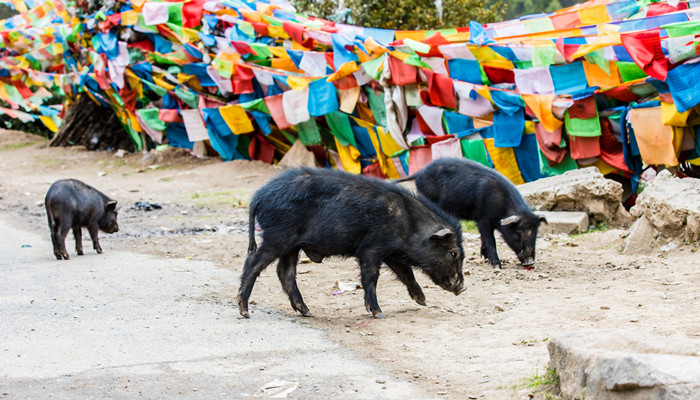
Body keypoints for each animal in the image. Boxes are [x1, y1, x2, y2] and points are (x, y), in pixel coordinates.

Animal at [238, 167, 468, 318]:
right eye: (454, 253)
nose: (463, 287)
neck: (409, 224)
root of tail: (258, 197)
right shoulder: (370, 249)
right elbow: (371, 278)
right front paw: (378, 313)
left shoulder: (392, 253)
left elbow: (406, 273)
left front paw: (422, 301)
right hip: (277, 236)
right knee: (253, 263)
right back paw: (244, 311)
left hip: (291, 246)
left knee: (284, 272)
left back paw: (307, 312)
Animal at [396, 159, 544, 268]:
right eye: (517, 234)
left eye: (535, 234)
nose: (530, 262)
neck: (502, 205)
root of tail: (419, 173)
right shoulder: (483, 218)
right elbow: (491, 240)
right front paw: (497, 266)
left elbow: (484, 238)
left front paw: (484, 256)